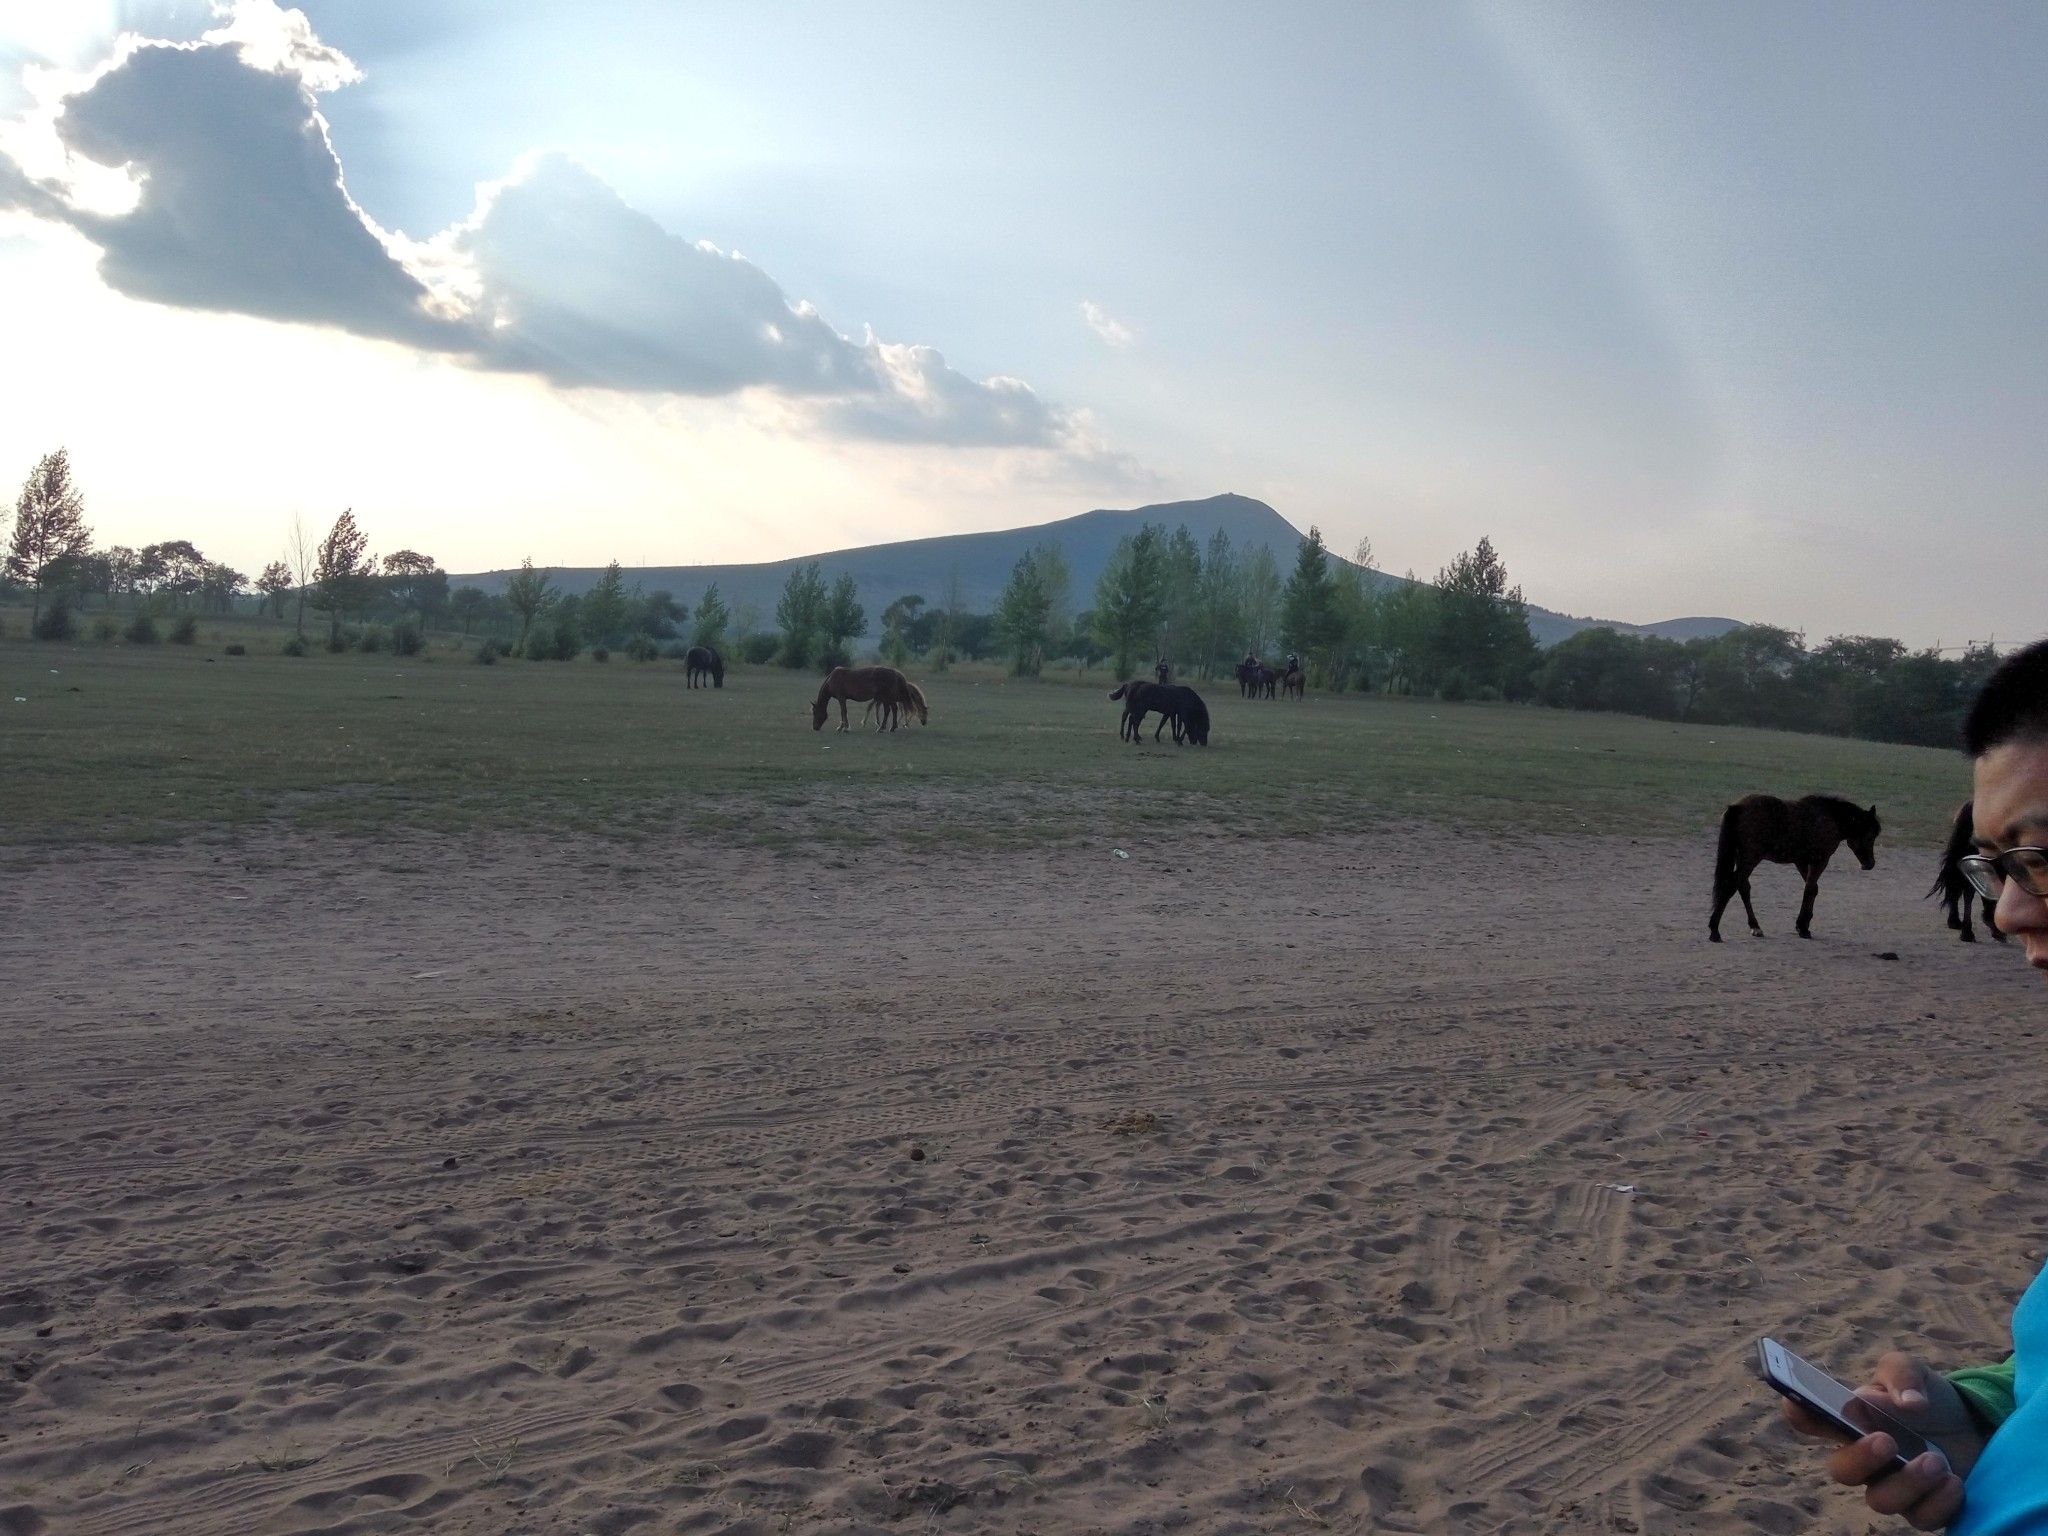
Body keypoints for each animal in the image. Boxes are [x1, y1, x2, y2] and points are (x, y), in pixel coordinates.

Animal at [1703, 798, 1875, 946]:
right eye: (1869, 835)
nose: (1870, 864)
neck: (1828, 818)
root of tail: (1737, 807)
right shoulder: (1819, 861)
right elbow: (1810, 889)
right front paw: (1803, 927)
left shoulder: (1801, 861)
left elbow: (1812, 889)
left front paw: (1803, 925)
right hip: (1750, 859)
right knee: (1730, 886)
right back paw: (1715, 930)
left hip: (1743, 859)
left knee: (1743, 887)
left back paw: (1755, 926)